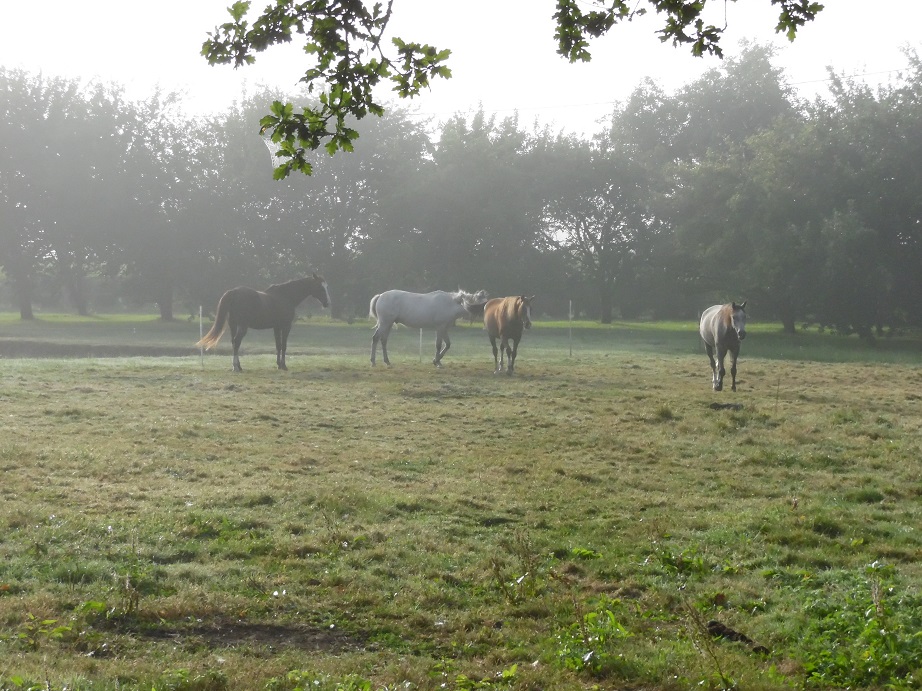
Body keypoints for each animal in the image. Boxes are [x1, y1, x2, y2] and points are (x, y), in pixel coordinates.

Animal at [197, 273, 330, 372]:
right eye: (320, 287)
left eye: (326, 286)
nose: (327, 303)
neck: (285, 296)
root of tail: (234, 292)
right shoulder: (286, 326)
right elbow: (284, 346)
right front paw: (284, 365)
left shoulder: (276, 327)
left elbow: (278, 346)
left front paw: (278, 365)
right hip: (242, 327)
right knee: (237, 342)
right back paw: (236, 367)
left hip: (233, 325)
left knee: (234, 343)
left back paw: (238, 366)